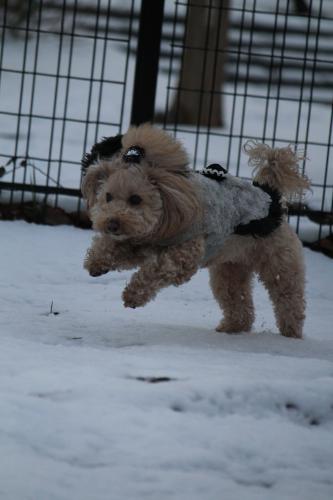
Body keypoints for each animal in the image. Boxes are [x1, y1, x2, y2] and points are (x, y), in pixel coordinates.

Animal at [81, 123, 310, 338]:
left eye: (136, 199)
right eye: (108, 196)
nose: (112, 224)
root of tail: (272, 195)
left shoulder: (184, 254)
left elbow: (158, 269)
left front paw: (133, 295)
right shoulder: (141, 239)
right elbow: (113, 247)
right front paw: (96, 262)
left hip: (280, 264)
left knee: (289, 299)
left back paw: (291, 333)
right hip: (230, 269)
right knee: (238, 302)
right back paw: (232, 328)